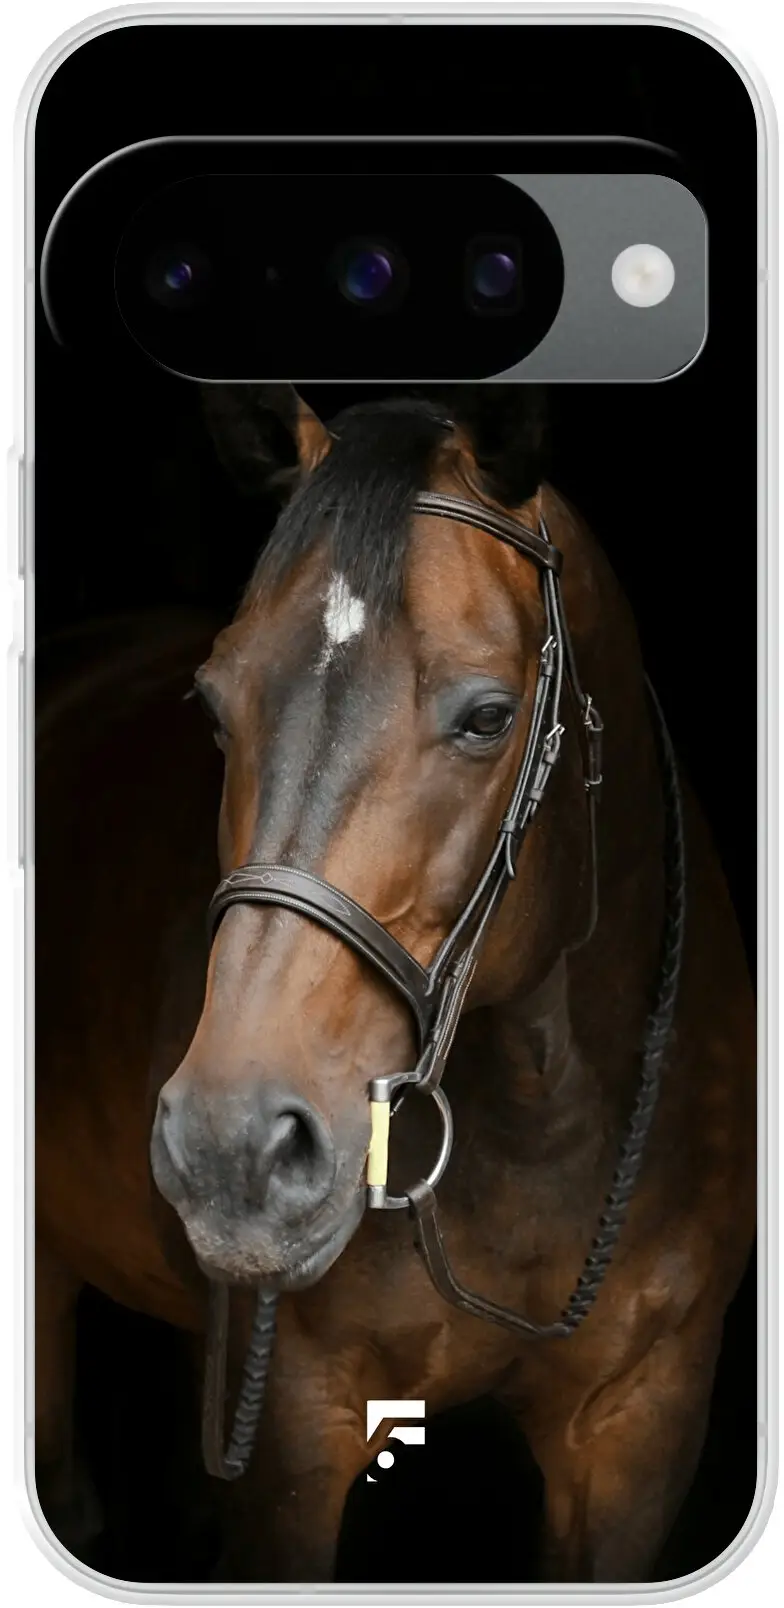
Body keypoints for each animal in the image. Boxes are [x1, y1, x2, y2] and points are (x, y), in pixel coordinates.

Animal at [35, 386, 755, 1583]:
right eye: (215, 707)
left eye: (488, 716)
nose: (231, 1146)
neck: (541, 1118)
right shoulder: (294, 1435)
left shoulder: (639, 1428)